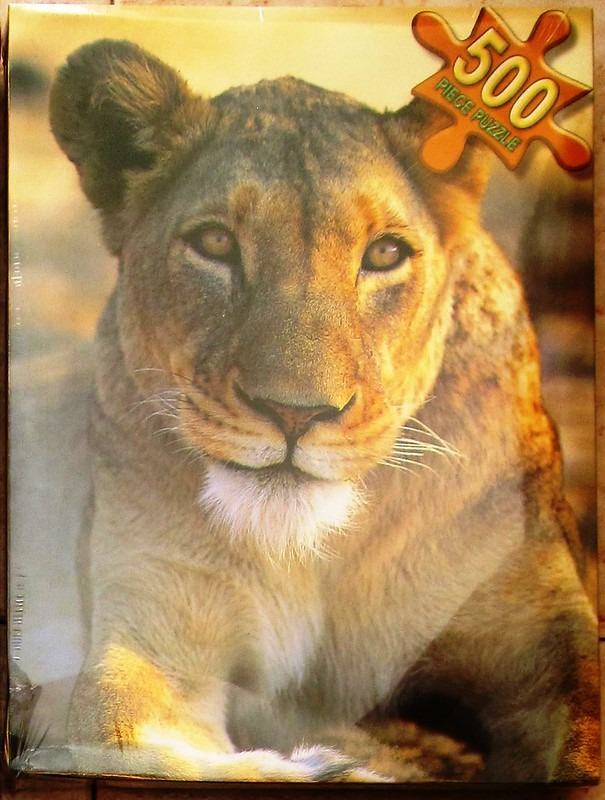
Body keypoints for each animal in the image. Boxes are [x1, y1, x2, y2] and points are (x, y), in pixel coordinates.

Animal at [41, 38, 598, 782]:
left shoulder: (544, 637)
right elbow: (122, 743)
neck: (312, 552)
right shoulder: (154, 626)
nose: (294, 413)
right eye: (215, 244)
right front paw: (328, 765)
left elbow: (582, 749)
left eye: (385, 253)